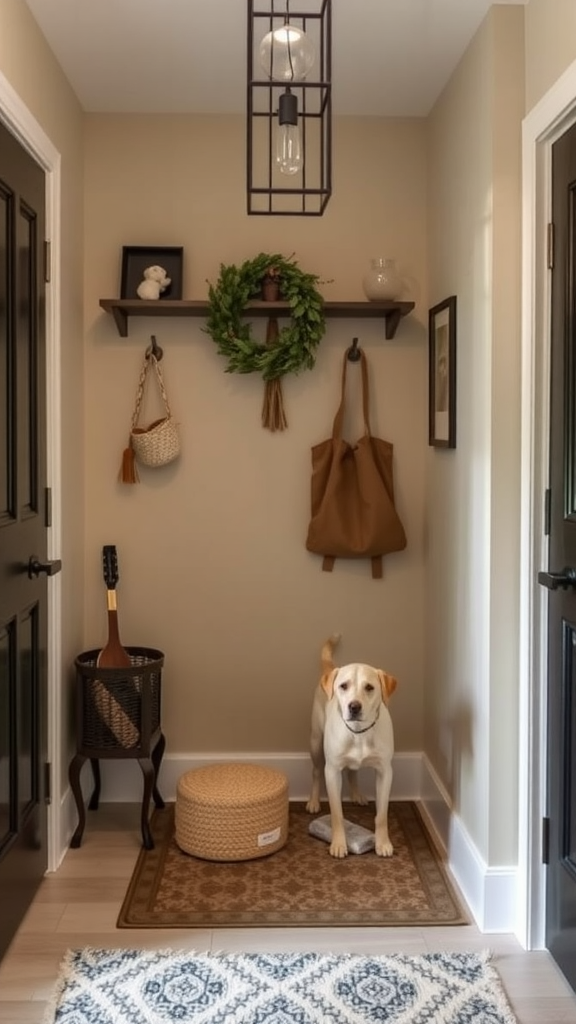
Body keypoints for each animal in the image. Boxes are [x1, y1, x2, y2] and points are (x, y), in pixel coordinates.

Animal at [305, 630, 393, 856]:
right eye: (343, 686)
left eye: (369, 687)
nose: (354, 706)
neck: (359, 733)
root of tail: (332, 669)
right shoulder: (332, 770)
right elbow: (337, 814)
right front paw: (338, 844)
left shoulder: (385, 772)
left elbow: (382, 815)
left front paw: (383, 843)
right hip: (315, 742)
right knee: (315, 771)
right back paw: (313, 801)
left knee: (353, 772)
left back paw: (357, 794)